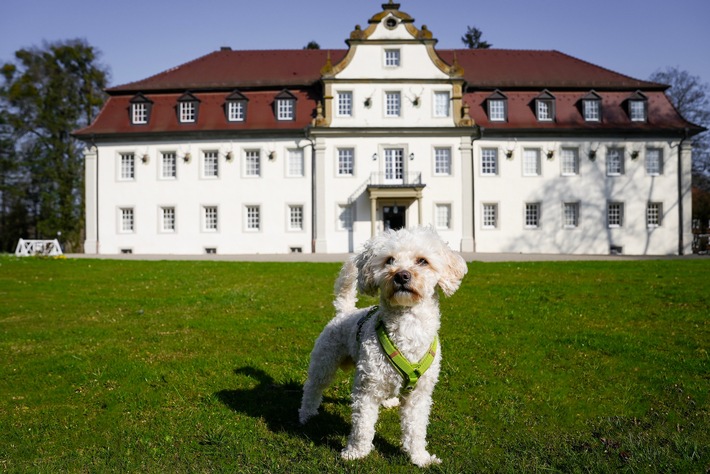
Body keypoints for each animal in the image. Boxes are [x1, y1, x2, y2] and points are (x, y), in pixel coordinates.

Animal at [298, 227, 470, 466]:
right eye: (389, 260)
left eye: (422, 261)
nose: (401, 275)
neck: (407, 330)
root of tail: (345, 311)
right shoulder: (366, 389)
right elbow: (362, 426)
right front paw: (356, 453)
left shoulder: (419, 395)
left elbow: (416, 429)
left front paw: (420, 457)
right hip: (324, 362)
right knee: (313, 388)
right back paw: (306, 414)